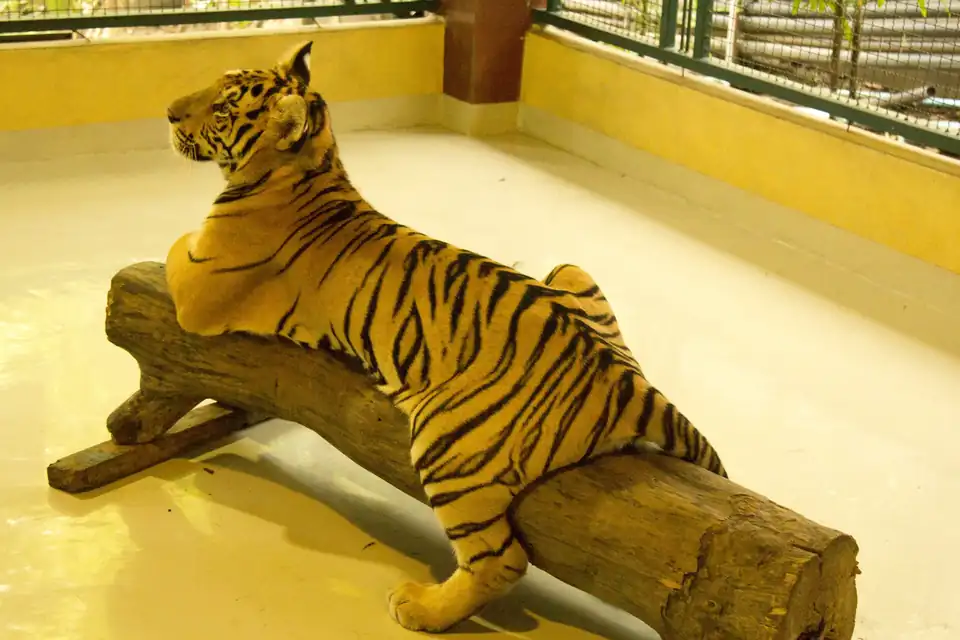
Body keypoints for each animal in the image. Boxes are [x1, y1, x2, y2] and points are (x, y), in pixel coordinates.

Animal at [164, 40, 728, 633]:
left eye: (222, 107)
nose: (169, 113)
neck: (314, 161)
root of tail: (628, 380)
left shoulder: (198, 287)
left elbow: (177, 242)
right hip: (571, 271)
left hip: (448, 446)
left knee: (500, 561)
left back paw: (421, 607)